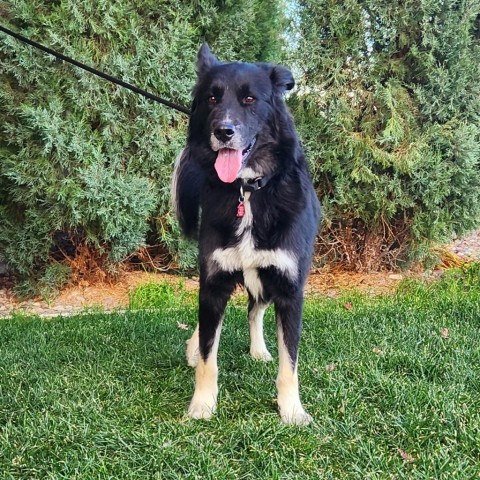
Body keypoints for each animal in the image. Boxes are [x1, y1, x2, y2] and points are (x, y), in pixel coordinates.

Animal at [171, 44, 320, 424]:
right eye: (211, 98)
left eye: (250, 99)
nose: (223, 131)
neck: (248, 190)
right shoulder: (213, 282)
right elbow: (209, 355)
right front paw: (202, 404)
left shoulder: (288, 288)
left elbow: (289, 364)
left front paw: (292, 410)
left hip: (265, 280)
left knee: (255, 310)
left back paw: (259, 350)